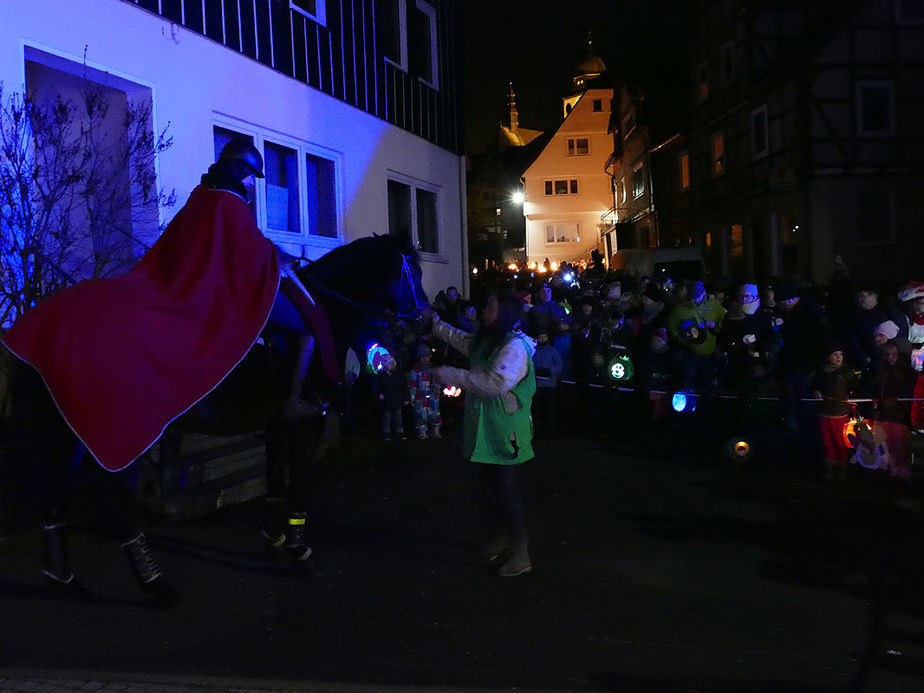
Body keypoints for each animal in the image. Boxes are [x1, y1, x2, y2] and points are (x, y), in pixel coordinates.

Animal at [1, 235, 430, 608]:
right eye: (413, 270)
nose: (426, 318)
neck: (324, 311)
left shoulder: (276, 424)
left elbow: (275, 478)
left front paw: (274, 539)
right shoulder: (306, 421)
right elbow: (299, 483)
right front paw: (298, 550)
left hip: (69, 430)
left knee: (57, 490)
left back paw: (64, 579)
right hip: (115, 432)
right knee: (112, 496)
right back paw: (155, 583)